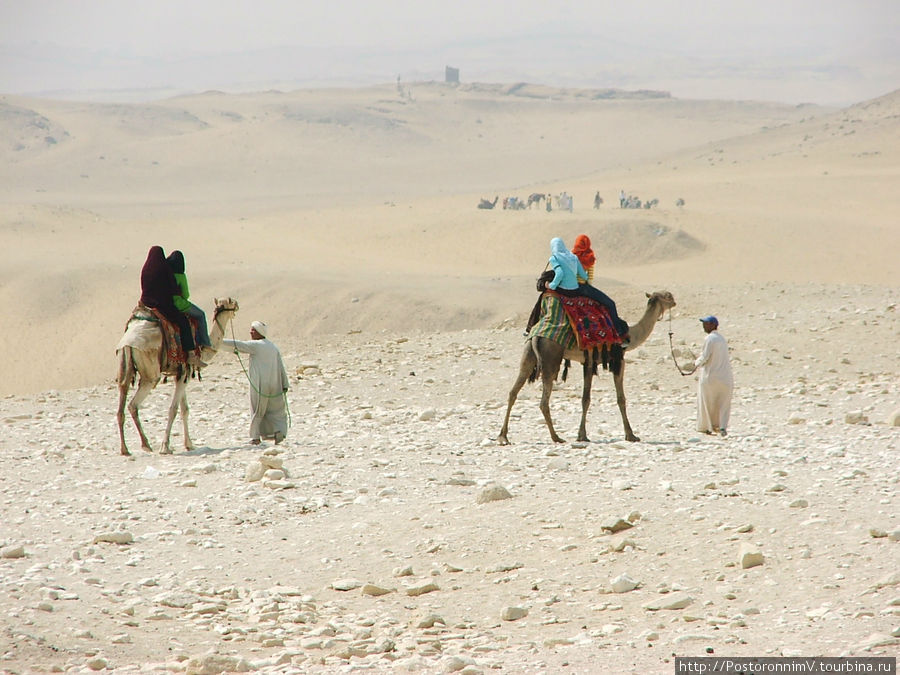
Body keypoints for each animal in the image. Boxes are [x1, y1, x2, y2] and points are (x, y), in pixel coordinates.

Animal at [116, 298, 239, 456]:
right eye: (230, 303)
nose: (237, 305)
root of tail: (129, 343)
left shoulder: (181, 374)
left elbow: (184, 409)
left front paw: (189, 444)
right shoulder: (185, 372)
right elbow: (173, 409)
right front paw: (165, 447)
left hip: (124, 362)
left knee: (122, 395)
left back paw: (125, 449)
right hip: (150, 372)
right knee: (133, 404)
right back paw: (146, 445)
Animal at [500, 284, 676, 446]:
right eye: (668, 295)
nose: (674, 301)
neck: (631, 334)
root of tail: (536, 336)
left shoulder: (588, 361)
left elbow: (585, 399)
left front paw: (582, 435)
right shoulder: (617, 360)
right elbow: (619, 398)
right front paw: (631, 435)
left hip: (528, 354)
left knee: (513, 392)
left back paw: (503, 437)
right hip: (551, 358)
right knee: (543, 401)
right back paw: (556, 437)